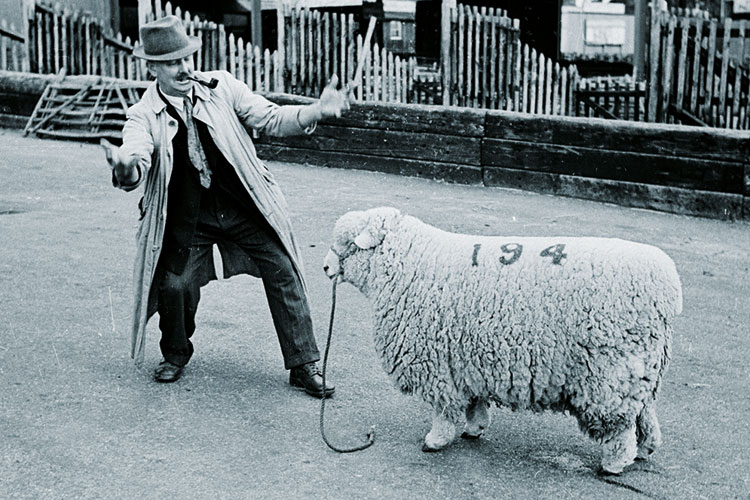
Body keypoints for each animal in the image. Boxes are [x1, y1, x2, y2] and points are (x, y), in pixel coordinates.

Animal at [320, 206, 684, 472]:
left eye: (349, 245)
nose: (324, 268)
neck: (410, 263)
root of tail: (669, 286)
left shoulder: (436, 363)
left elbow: (443, 408)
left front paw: (435, 440)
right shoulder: (464, 358)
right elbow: (472, 401)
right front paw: (475, 428)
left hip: (610, 372)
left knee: (621, 424)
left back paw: (615, 463)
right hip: (641, 368)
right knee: (644, 413)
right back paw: (644, 449)